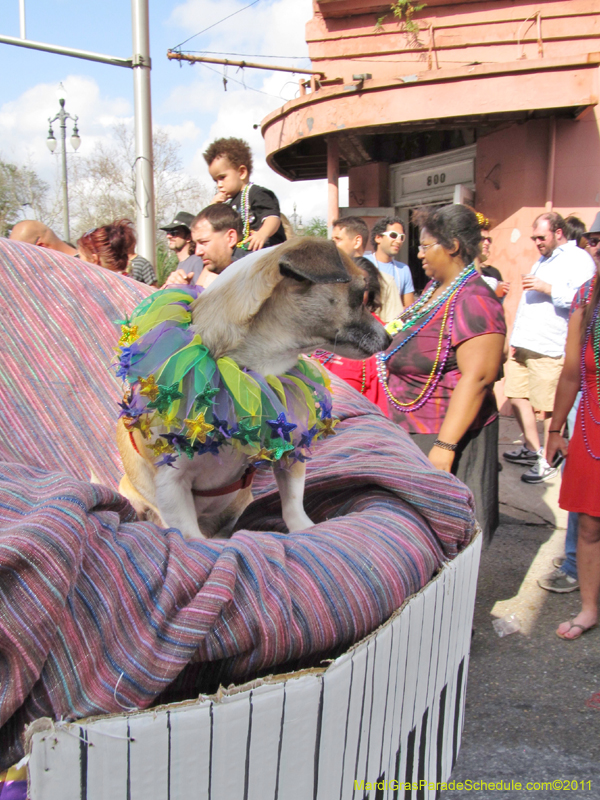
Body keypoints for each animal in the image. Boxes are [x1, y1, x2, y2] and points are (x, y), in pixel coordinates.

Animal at [115, 238, 392, 536]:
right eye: (360, 295)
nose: (389, 338)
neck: (247, 371)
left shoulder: (288, 452)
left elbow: (292, 503)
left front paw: (304, 528)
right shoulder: (172, 486)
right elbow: (190, 535)